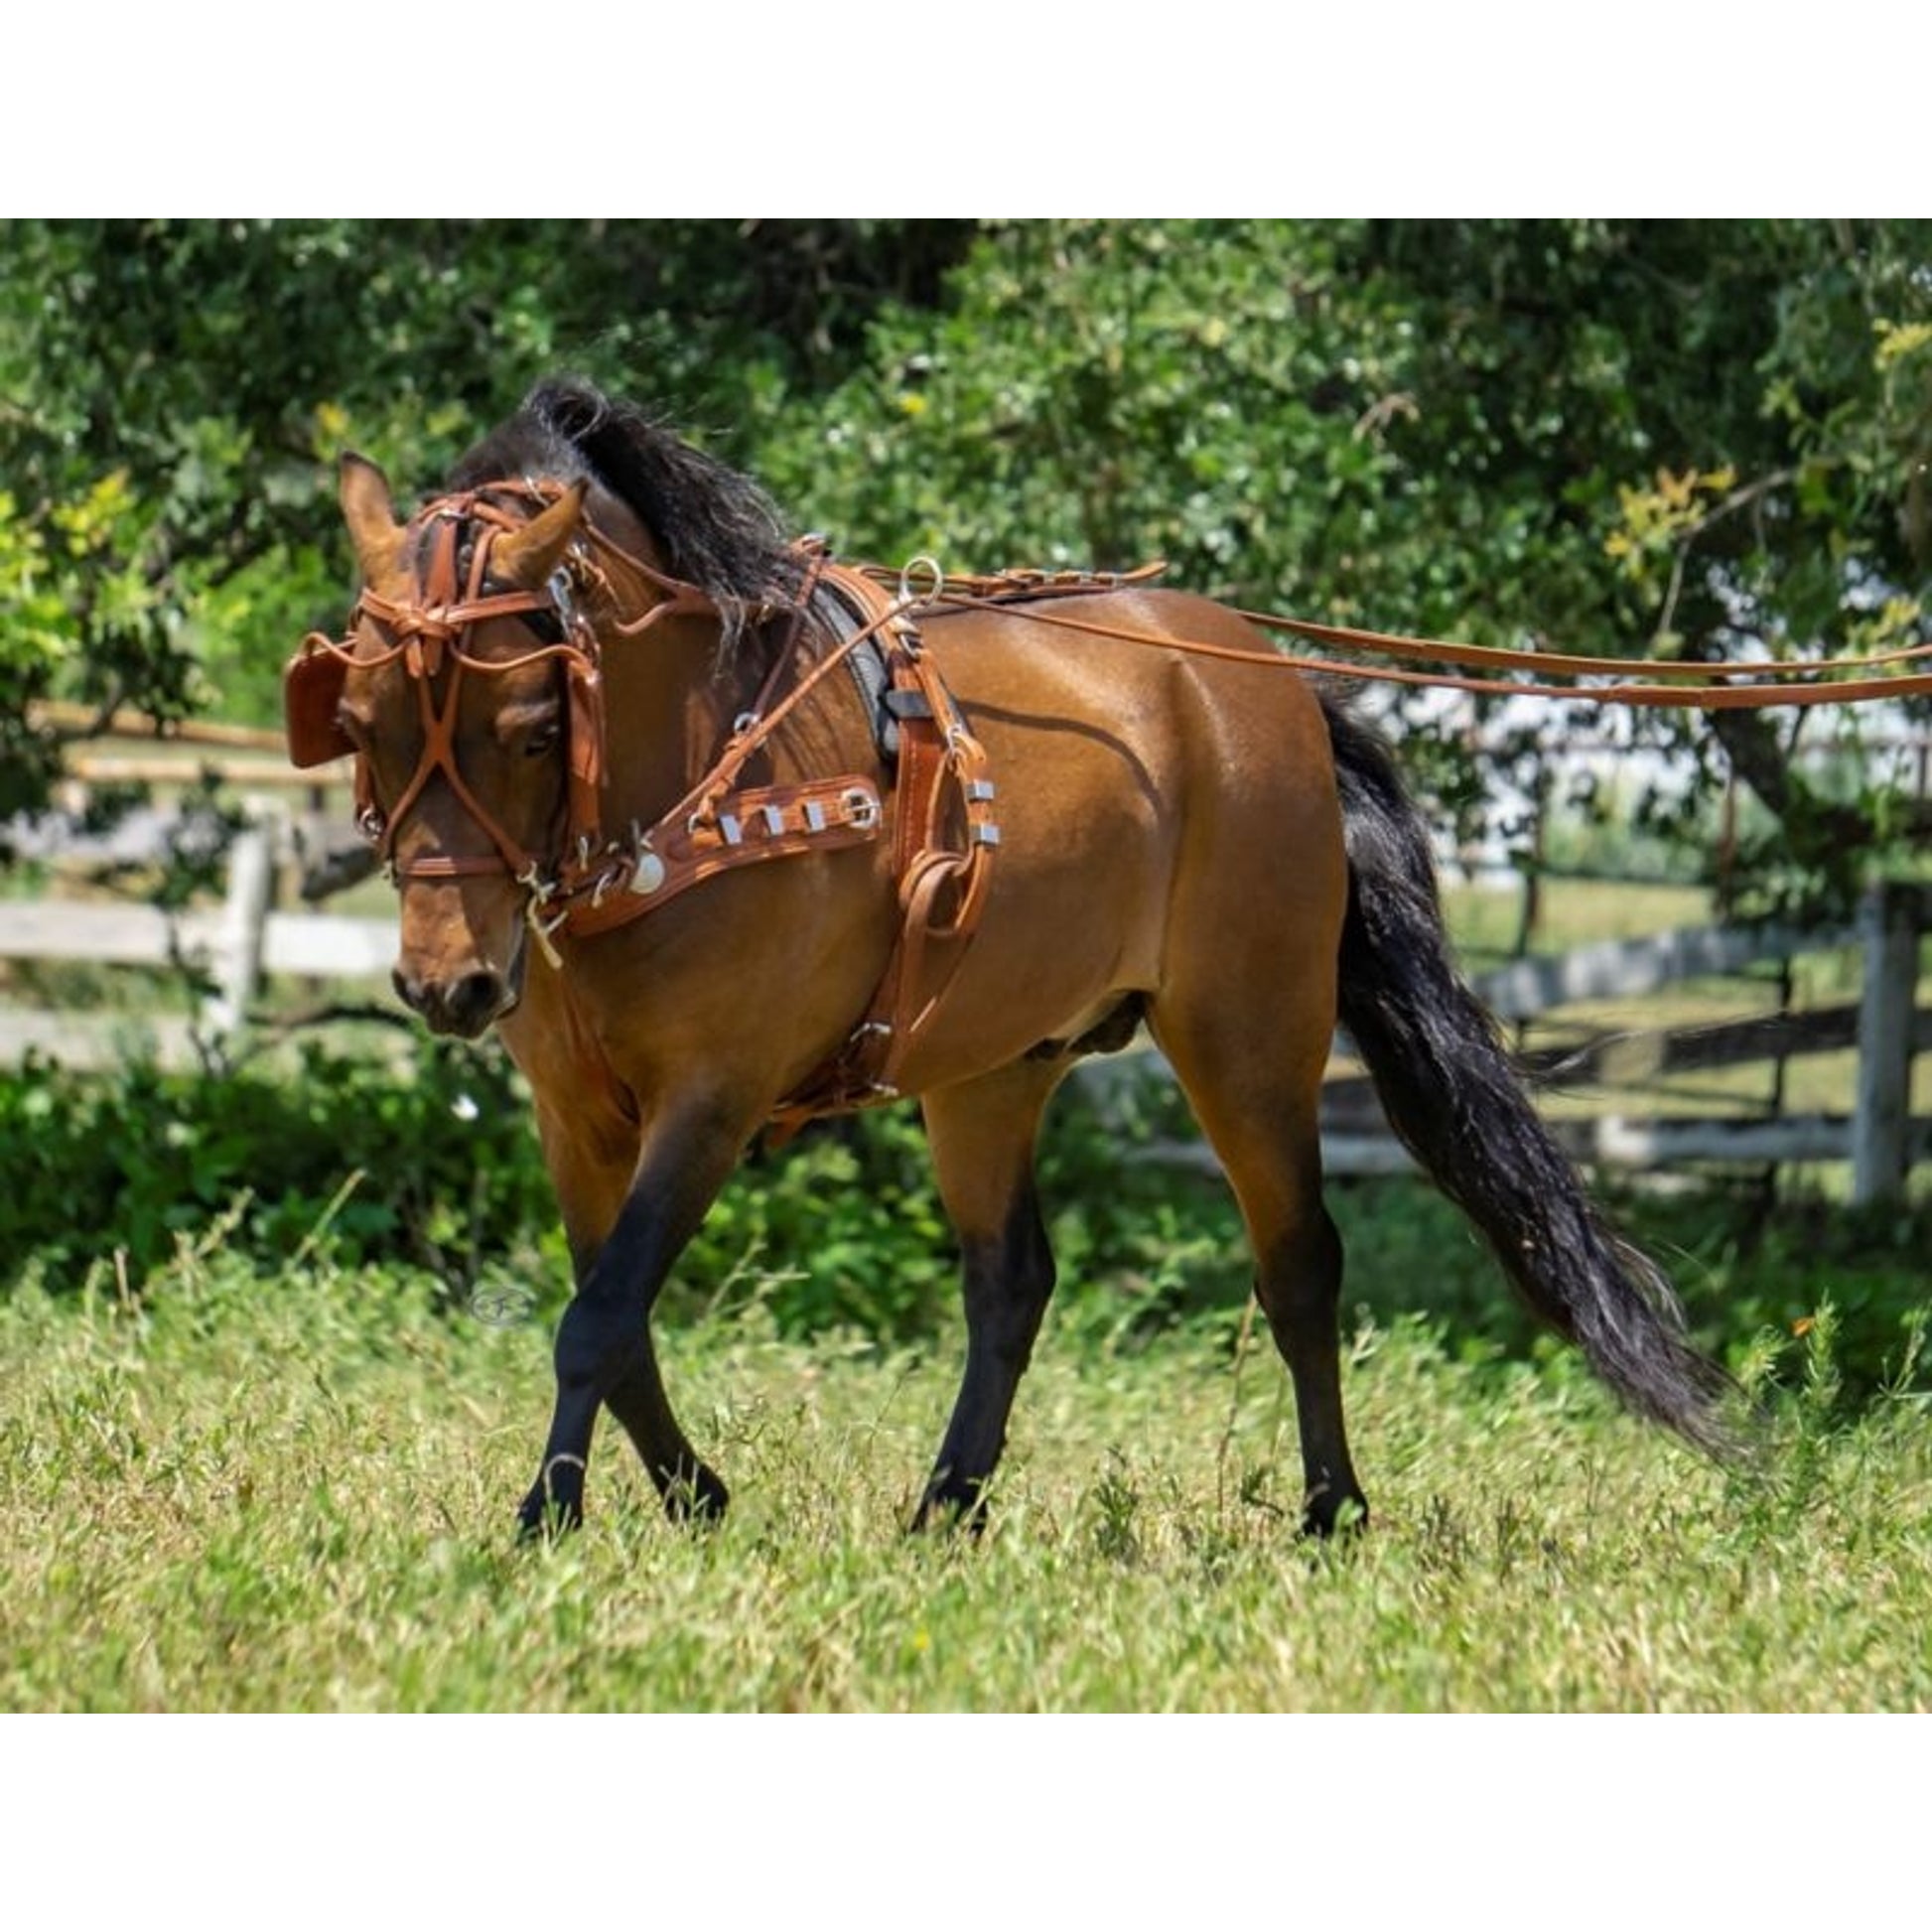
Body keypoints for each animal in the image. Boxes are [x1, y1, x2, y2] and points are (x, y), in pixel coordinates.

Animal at [284, 375, 1735, 1540]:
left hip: (1246, 1034)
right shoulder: (575, 1114)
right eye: (354, 717)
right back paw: (948, 1505)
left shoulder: (713, 1095)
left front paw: (544, 1522)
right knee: (1010, 1285)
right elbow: (615, 1316)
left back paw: (1330, 1509)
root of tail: (1266, 680)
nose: (447, 984)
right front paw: (692, 1499)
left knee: (1297, 1265)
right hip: (988, 1067)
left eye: (533, 725)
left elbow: (598, 1315)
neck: (700, 768)